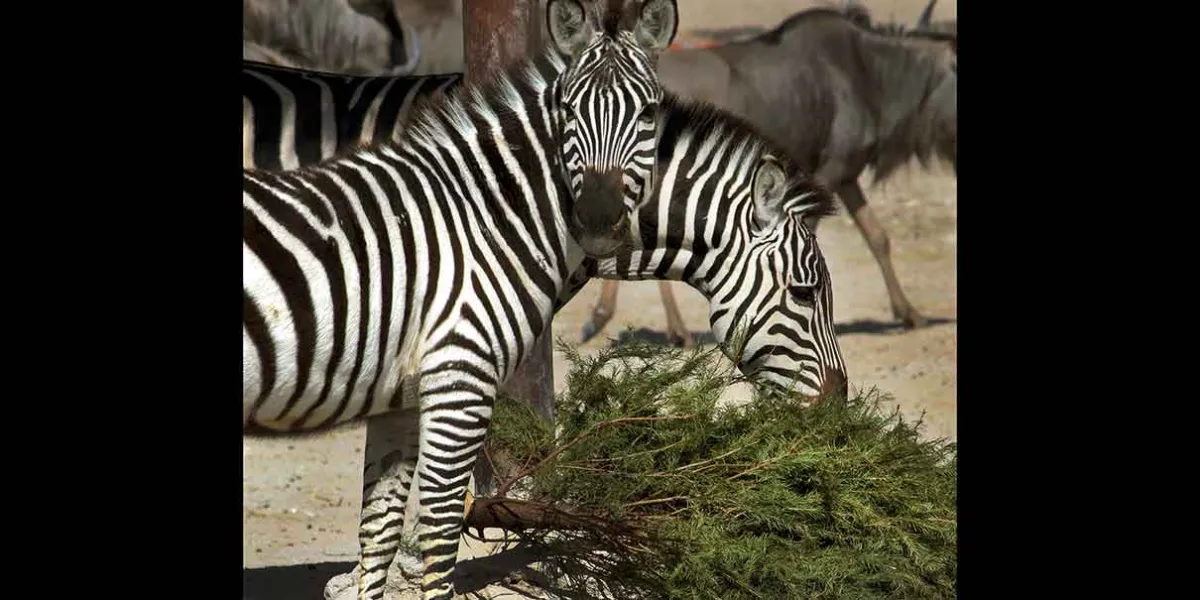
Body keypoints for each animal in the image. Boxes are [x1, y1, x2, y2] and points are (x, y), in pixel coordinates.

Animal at [241, 2, 686, 597]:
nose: (596, 215)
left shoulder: (399, 397)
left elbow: (379, 530)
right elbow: (438, 533)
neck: (484, 219)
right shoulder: (460, 378)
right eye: (568, 109)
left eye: (648, 112)